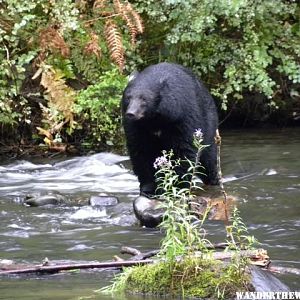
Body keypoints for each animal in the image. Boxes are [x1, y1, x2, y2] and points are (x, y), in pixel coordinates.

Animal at [121, 62, 218, 196]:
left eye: (144, 99)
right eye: (128, 98)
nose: (131, 113)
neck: (155, 119)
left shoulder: (182, 117)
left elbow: (184, 149)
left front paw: (178, 186)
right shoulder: (136, 127)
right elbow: (141, 152)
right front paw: (148, 188)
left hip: (208, 119)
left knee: (208, 156)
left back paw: (213, 180)